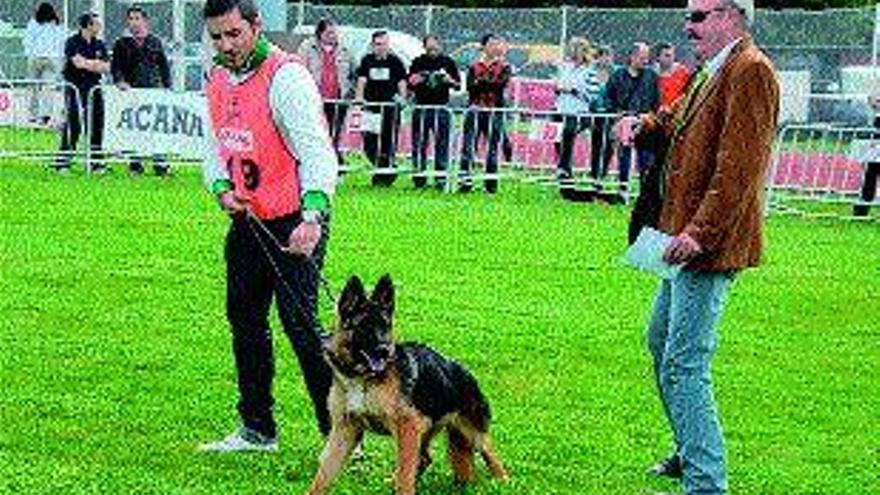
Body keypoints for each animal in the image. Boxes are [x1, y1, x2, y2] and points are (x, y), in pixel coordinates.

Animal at [306, 276, 508, 495]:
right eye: (365, 327)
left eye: (385, 326)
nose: (385, 351)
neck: (363, 378)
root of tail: (466, 373)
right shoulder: (344, 431)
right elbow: (323, 476)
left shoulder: (407, 427)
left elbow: (405, 474)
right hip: (427, 431)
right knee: (425, 458)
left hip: (471, 433)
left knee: (491, 454)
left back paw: (503, 481)